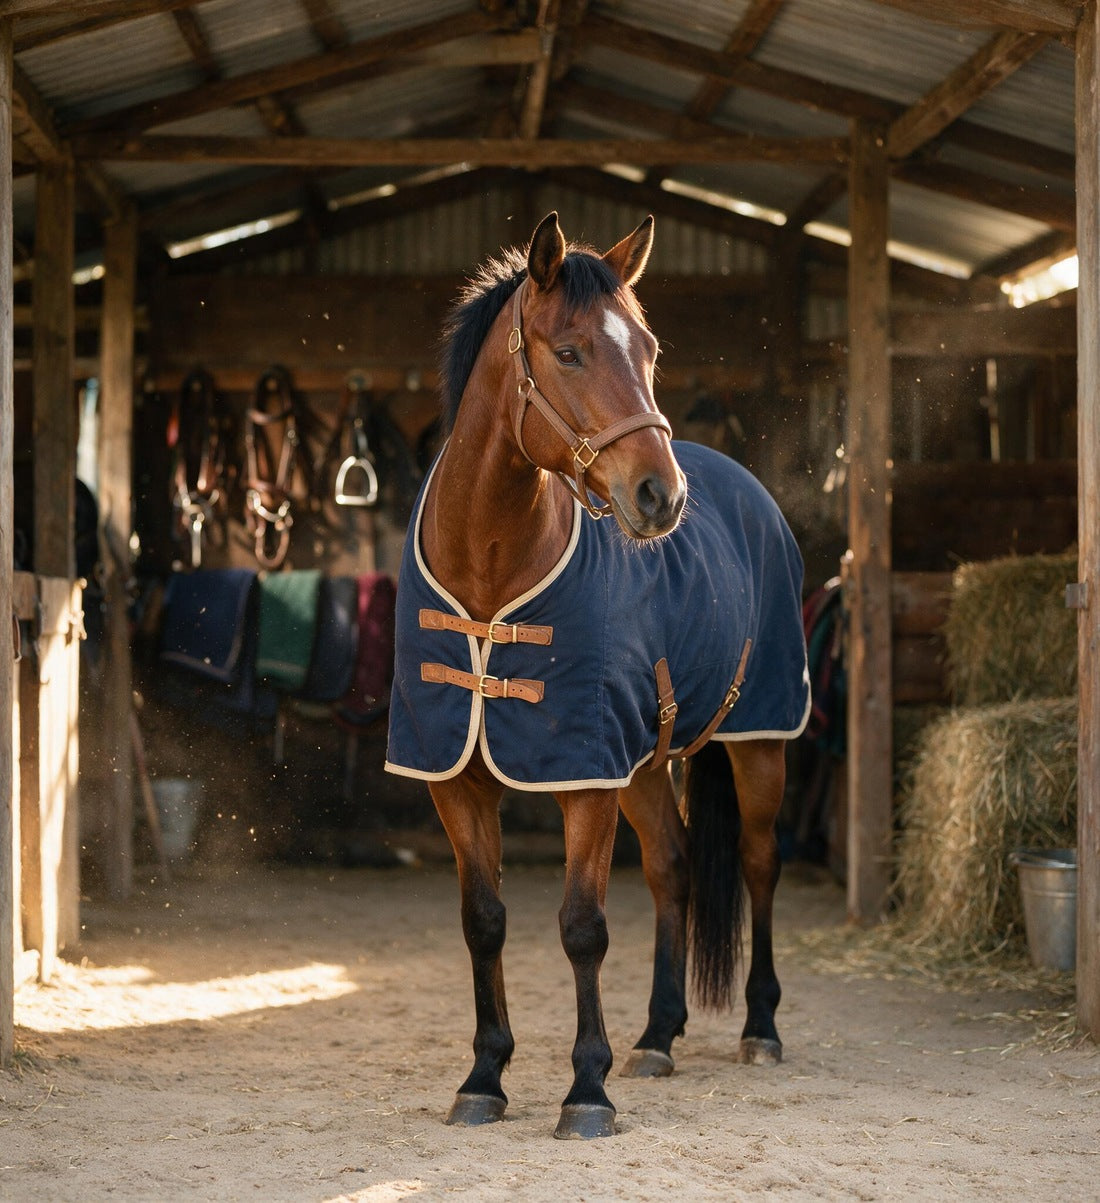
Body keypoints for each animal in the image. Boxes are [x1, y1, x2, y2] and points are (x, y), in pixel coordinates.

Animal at [385, 212, 810, 1139]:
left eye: (648, 348)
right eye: (570, 351)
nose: (660, 496)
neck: (491, 577)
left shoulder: (585, 775)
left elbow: (582, 926)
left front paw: (587, 1088)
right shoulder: (456, 779)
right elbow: (483, 921)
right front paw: (485, 1075)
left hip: (759, 739)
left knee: (760, 863)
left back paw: (761, 1025)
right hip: (645, 763)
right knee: (674, 867)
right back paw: (656, 1034)